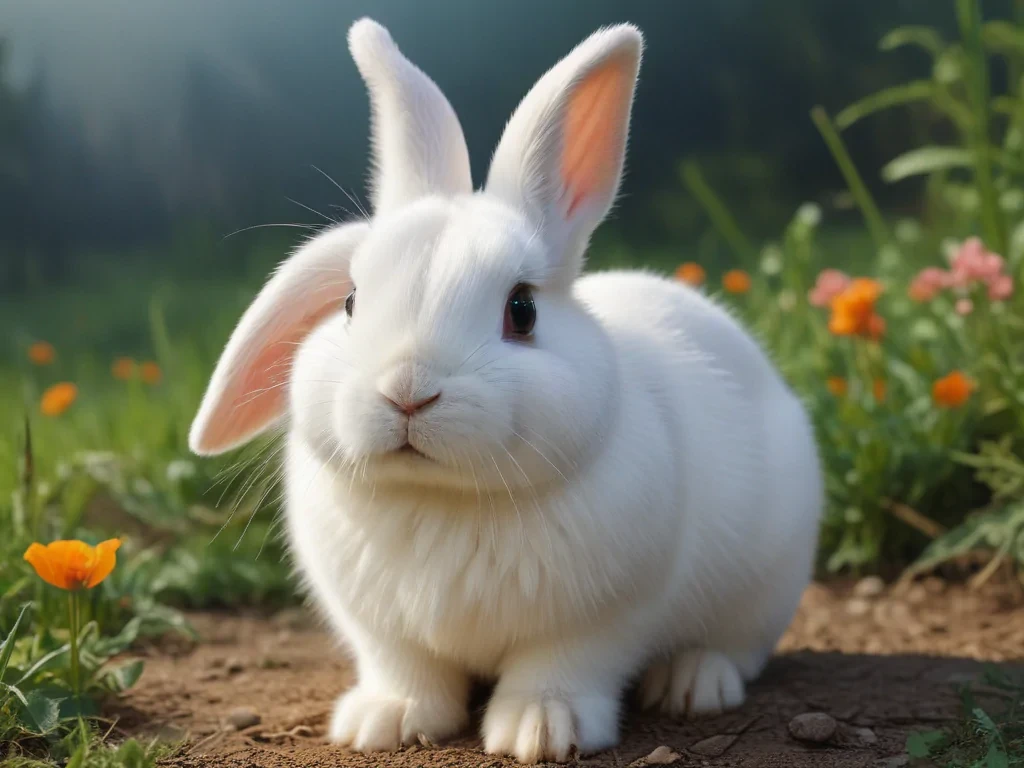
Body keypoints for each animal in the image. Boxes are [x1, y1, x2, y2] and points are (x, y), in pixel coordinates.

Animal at [188, 17, 823, 765]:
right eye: (349, 301)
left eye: (521, 310)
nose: (407, 391)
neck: (443, 502)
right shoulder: (381, 630)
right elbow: (406, 671)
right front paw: (383, 721)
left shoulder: (599, 621)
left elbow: (561, 669)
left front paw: (540, 731)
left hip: (767, 582)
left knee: (739, 647)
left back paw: (695, 683)